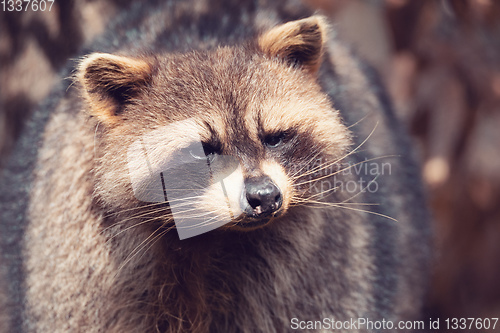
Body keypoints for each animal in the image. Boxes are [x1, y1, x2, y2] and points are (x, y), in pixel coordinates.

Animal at [0, 0, 430, 332]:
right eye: (203, 151)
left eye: (274, 137)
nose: (265, 196)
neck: (208, 237)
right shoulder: (87, 274)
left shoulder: (318, 269)